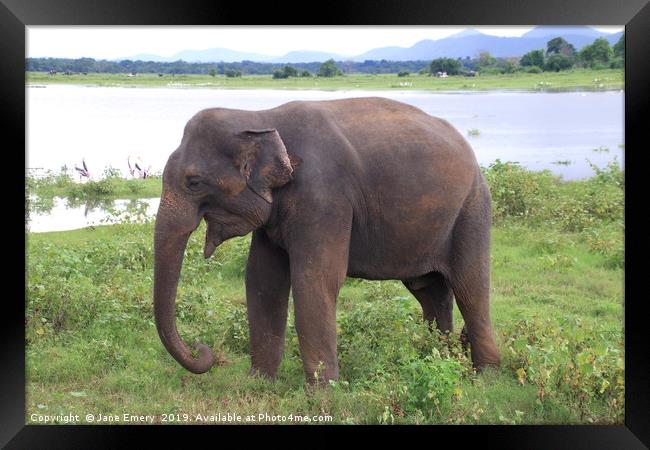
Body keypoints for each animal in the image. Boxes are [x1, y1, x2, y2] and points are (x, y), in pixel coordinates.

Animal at [153, 96, 502, 384]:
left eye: (194, 182)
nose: (203, 350)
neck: (260, 116)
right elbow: (262, 279)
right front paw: (258, 383)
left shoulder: (324, 197)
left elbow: (316, 278)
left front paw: (323, 393)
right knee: (430, 289)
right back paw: (437, 359)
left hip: (472, 208)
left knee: (470, 287)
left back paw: (485, 376)